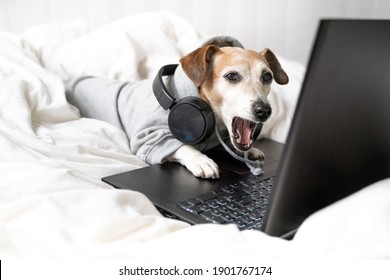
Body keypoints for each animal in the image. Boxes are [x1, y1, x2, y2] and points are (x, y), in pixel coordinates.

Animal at [166, 44, 288, 179]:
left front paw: (250, 150)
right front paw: (200, 160)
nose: (264, 110)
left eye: (267, 77)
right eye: (232, 76)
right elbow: (182, 146)